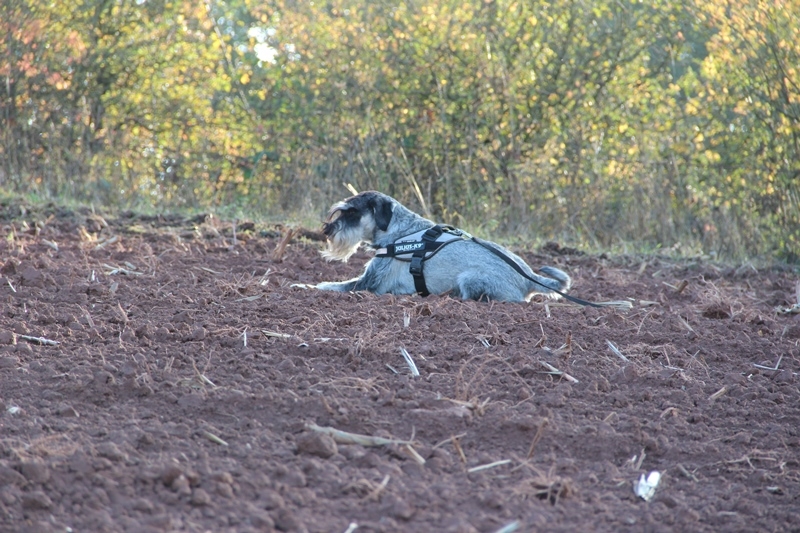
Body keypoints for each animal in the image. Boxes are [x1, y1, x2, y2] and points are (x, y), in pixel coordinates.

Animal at [316, 191, 572, 302]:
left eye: (352, 212)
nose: (327, 230)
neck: (399, 230)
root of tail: (529, 278)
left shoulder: (369, 283)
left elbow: (333, 286)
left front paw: (309, 285)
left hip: (470, 278)